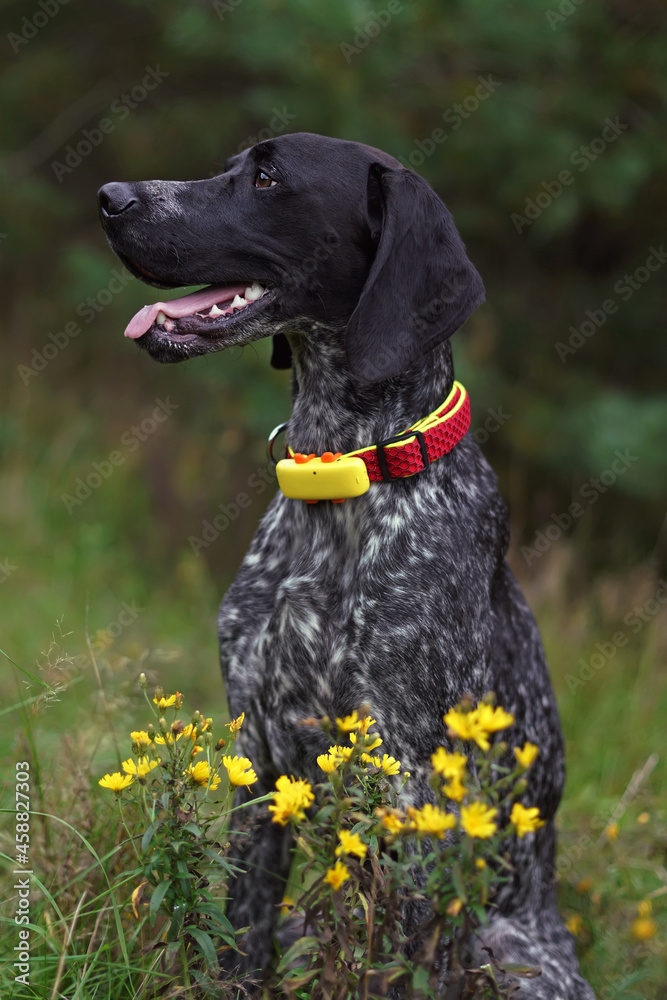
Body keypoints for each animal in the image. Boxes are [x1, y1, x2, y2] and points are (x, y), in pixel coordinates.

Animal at [98, 133, 596, 1000]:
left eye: (267, 177)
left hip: (511, 951)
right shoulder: (260, 759)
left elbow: (399, 961)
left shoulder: (412, 785)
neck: (341, 474)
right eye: (233, 165)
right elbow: (241, 937)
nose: (109, 197)